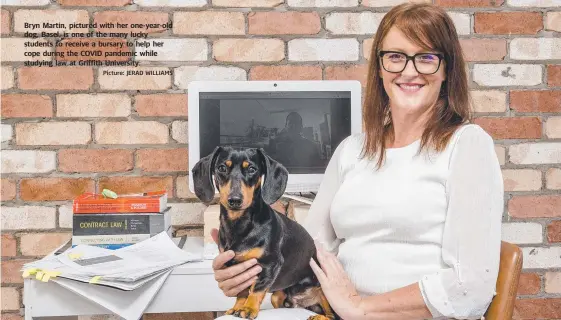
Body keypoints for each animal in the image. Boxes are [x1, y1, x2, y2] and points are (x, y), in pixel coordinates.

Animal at [190, 147, 340, 320]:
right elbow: (242, 291)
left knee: (333, 315)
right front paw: (238, 307)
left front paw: (248, 308)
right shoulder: (237, 266)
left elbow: (257, 289)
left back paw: (319, 316)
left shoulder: (271, 263)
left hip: (326, 291)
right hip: (278, 296)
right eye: (221, 168)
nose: (234, 200)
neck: (239, 225)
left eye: (251, 169)